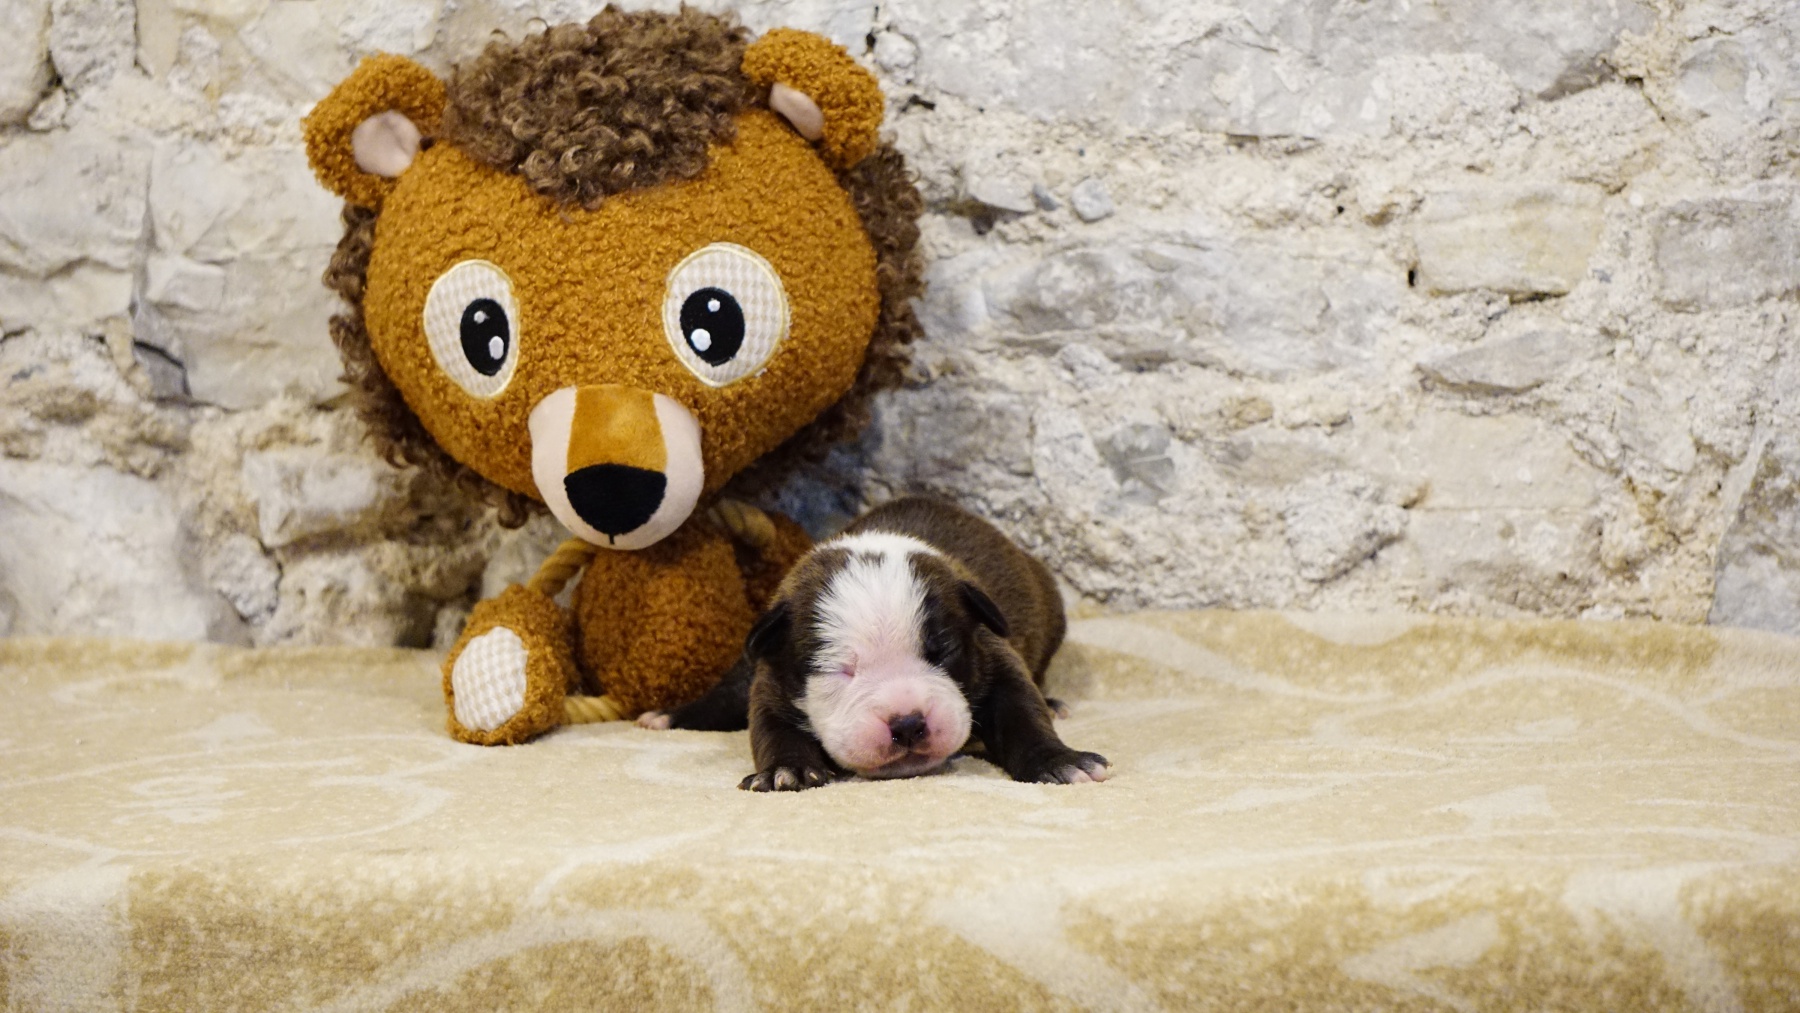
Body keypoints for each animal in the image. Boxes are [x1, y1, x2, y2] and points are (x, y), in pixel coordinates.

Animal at [640, 497, 1111, 791]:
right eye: (840, 670)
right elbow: (772, 729)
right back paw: (667, 716)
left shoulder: (995, 656)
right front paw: (786, 771)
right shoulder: (770, 682)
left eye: (942, 653)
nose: (907, 723)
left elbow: (1022, 714)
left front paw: (1060, 761)